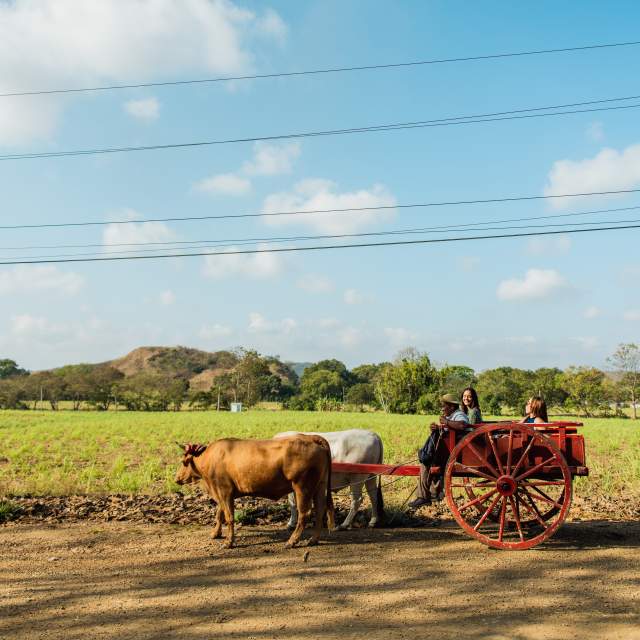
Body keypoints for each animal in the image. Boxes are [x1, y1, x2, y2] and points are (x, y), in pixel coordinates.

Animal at [175, 435, 335, 549]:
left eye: (183, 462)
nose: (176, 479)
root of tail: (311, 437)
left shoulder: (224, 490)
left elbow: (229, 517)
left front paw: (228, 542)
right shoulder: (221, 492)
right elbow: (219, 514)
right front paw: (216, 533)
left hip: (302, 487)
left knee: (305, 514)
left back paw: (292, 541)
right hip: (320, 485)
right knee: (320, 510)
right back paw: (313, 540)